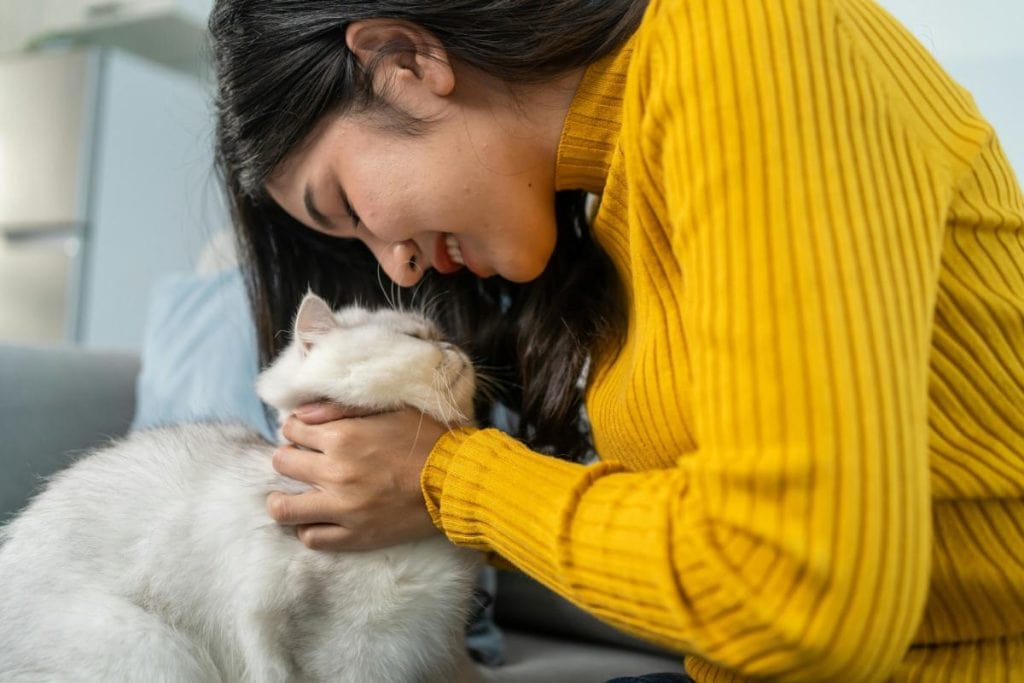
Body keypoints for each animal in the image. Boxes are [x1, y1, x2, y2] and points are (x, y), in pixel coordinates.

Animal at [0, 292, 483, 683]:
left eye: (439, 333)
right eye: (416, 336)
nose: (455, 344)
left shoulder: (429, 650)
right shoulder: (329, 646)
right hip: (155, 648)